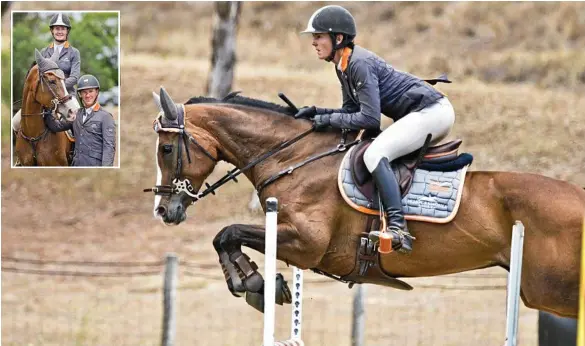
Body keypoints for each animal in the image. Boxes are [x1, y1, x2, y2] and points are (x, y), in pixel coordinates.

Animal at [146, 87, 584, 318]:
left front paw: (255, 284)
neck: (293, 158)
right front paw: (259, 285)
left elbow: (227, 232)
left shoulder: (307, 243)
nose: (165, 211)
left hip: (551, 289)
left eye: (166, 149)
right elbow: (226, 236)